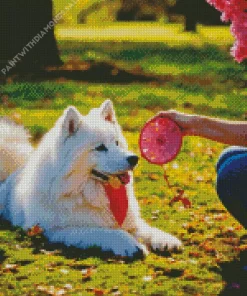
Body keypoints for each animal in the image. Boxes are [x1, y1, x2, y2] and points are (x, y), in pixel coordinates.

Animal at [0, 100, 181, 258]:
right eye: (100, 148)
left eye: (116, 143)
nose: (134, 159)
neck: (89, 191)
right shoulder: (60, 230)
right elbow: (107, 231)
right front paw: (131, 244)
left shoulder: (131, 222)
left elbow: (147, 229)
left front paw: (165, 240)